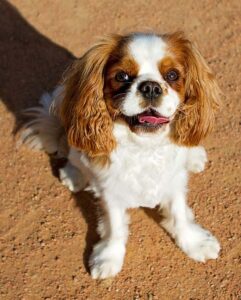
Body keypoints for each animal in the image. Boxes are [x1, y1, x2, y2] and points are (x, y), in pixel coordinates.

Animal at [21, 32, 221, 278]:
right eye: (122, 76)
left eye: (172, 75)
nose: (151, 87)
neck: (144, 145)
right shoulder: (110, 190)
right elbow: (115, 227)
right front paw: (109, 257)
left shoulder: (174, 181)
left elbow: (179, 214)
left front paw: (194, 242)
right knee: (72, 152)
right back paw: (73, 174)